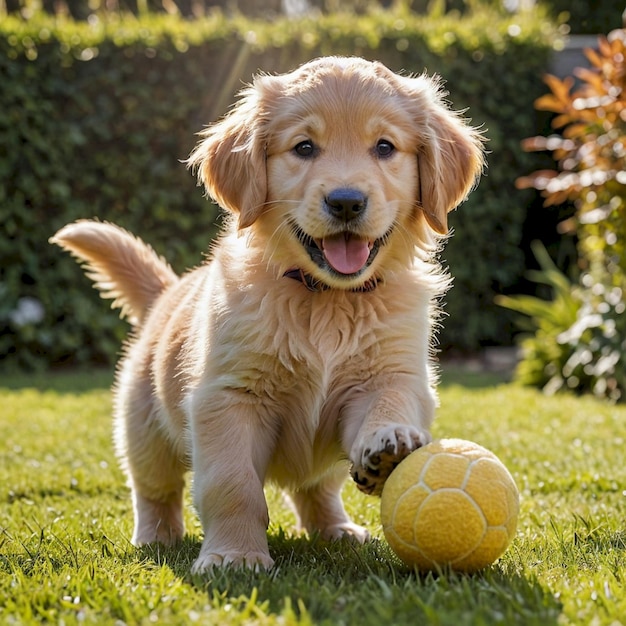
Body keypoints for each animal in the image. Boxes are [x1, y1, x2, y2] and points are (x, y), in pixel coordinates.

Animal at [52, 54, 482, 572]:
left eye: (384, 147)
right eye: (304, 147)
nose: (346, 202)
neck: (327, 298)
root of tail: (168, 293)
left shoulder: (391, 373)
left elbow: (389, 403)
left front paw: (390, 443)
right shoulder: (228, 398)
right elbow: (231, 485)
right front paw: (235, 555)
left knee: (316, 490)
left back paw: (337, 530)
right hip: (143, 429)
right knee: (155, 489)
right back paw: (157, 538)